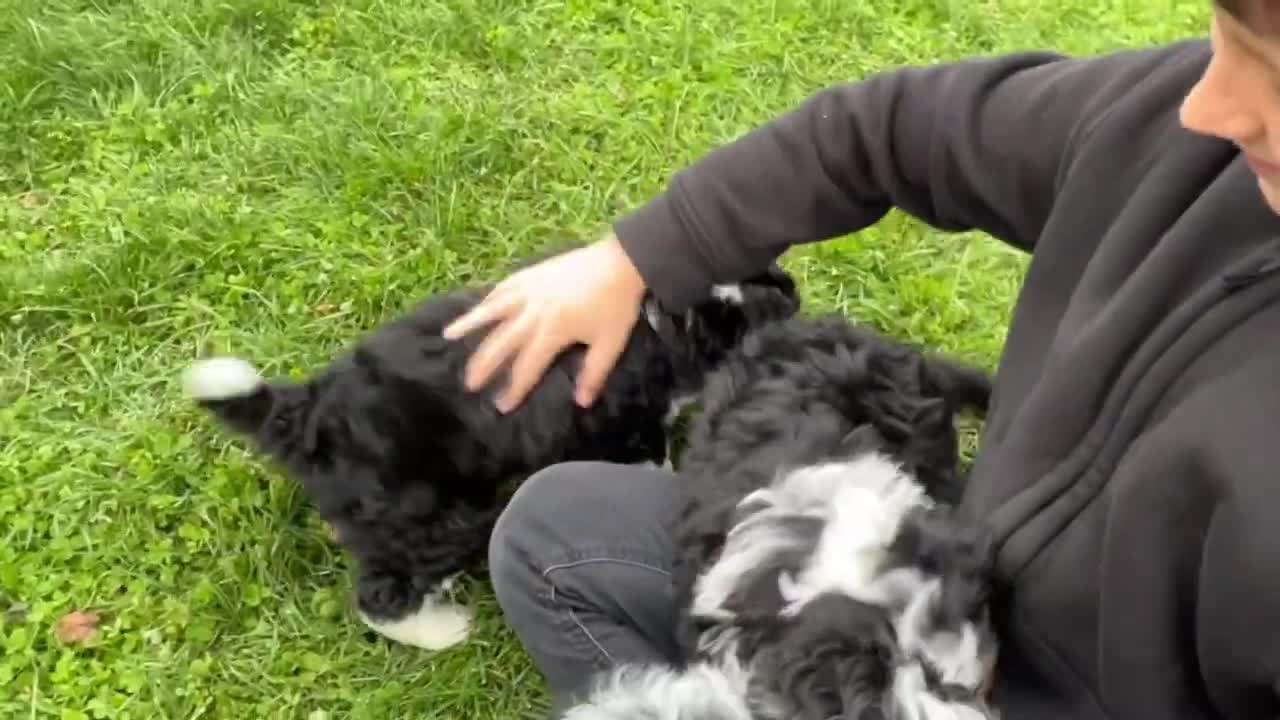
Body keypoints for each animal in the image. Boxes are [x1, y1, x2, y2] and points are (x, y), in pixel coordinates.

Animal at [180, 251, 798, 650]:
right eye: (746, 317)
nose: (791, 288)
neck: (656, 325)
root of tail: (311, 408)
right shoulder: (623, 427)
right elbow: (648, 453)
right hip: (431, 515)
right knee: (381, 596)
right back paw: (444, 629)